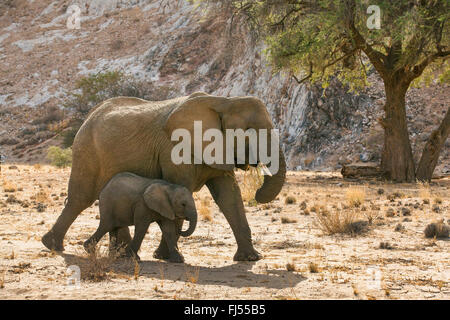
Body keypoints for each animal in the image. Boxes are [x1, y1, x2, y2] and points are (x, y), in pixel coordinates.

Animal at [40, 91, 284, 262]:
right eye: (249, 131)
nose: (258, 191)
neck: (223, 101)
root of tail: (89, 115)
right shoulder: (174, 148)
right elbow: (181, 189)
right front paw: (165, 257)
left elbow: (229, 197)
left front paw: (250, 258)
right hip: (86, 149)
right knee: (80, 198)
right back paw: (53, 246)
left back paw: (117, 254)